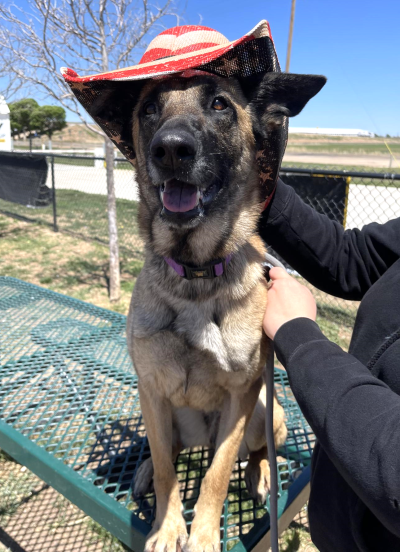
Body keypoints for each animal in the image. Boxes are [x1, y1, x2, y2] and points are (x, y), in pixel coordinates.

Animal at [126, 71, 326, 548]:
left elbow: (216, 475)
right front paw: (167, 527)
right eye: (148, 109)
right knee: (167, 451)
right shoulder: (151, 389)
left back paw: (261, 473)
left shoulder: (241, 396)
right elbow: (168, 472)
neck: (196, 276)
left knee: (254, 451)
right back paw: (145, 469)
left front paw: (200, 536)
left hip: (265, 414)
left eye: (219, 104)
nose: (171, 149)